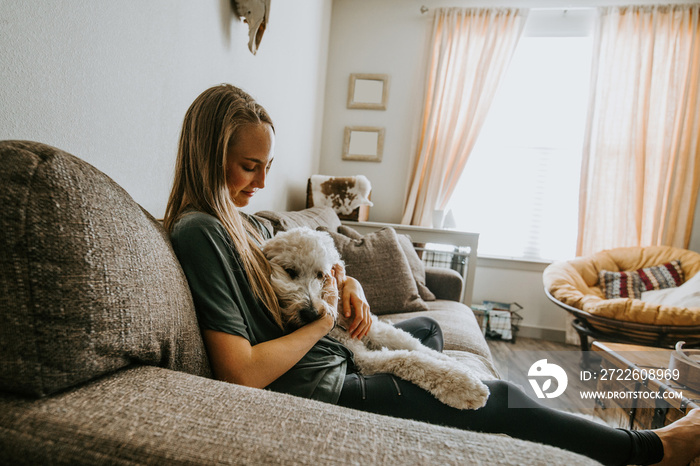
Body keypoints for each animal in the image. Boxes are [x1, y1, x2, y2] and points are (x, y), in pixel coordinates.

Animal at [264, 228, 492, 410]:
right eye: (290, 271)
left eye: (321, 275)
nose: (310, 313)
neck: (341, 319)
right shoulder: (362, 358)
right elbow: (408, 358)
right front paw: (464, 386)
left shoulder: (378, 330)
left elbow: (420, 348)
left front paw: (468, 370)